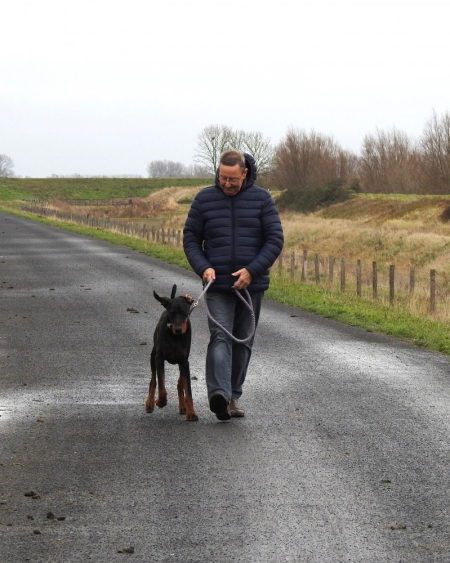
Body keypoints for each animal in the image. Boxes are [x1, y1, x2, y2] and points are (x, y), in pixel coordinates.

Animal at [146, 286, 199, 424]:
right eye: (172, 313)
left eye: (184, 312)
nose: (178, 329)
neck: (175, 338)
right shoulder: (159, 359)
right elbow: (162, 387)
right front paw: (160, 402)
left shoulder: (185, 362)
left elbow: (188, 390)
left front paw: (191, 413)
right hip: (153, 357)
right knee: (153, 381)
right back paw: (149, 403)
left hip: (182, 364)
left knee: (180, 383)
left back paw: (183, 406)